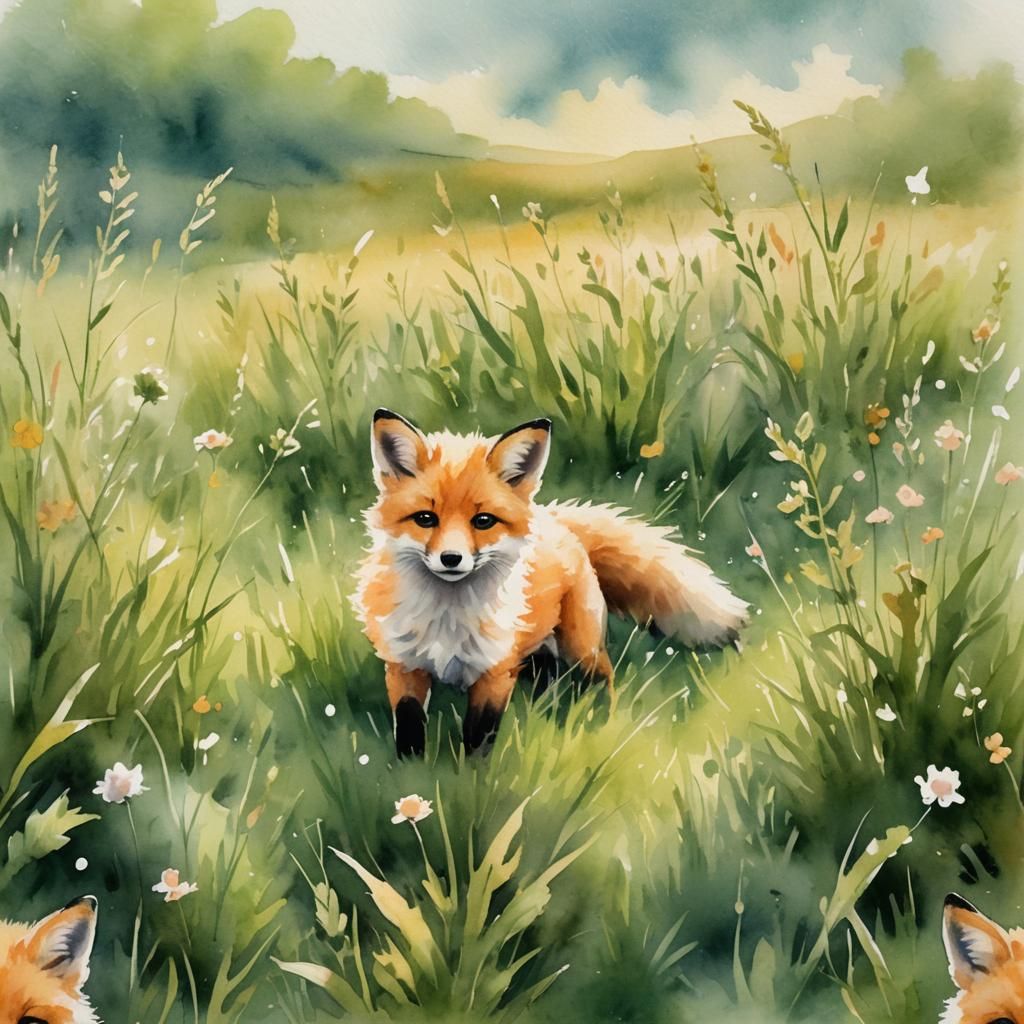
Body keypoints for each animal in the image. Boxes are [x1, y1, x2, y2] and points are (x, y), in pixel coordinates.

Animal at [353, 409, 748, 756]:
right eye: (425, 518)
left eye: (483, 521)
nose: (451, 559)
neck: (447, 619)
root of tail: (558, 520)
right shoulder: (404, 667)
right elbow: (409, 730)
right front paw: (411, 774)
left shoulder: (496, 671)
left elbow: (479, 739)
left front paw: (471, 780)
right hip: (539, 654)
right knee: (548, 684)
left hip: (580, 648)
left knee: (603, 679)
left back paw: (598, 727)